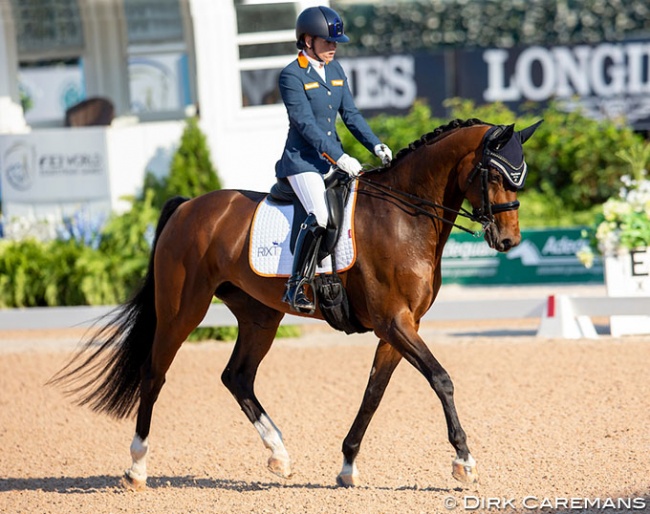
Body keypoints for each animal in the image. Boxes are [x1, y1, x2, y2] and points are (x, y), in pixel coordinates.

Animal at [50, 116, 540, 488]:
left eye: (520, 177)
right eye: (495, 175)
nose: (509, 240)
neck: (404, 216)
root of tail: (189, 206)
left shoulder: (399, 327)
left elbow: (373, 393)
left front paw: (347, 465)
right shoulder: (394, 322)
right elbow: (441, 379)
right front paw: (464, 461)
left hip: (259, 316)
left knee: (237, 377)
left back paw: (279, 454)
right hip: (181, 311)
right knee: (155, 374)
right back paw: (137, 467)